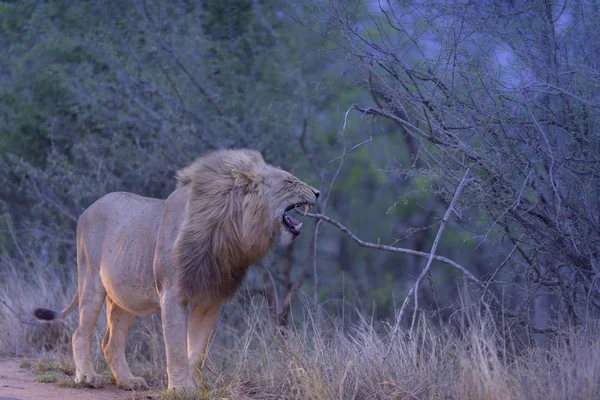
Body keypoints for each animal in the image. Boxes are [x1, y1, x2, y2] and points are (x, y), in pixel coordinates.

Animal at [34, 149, 318, 390]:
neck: (230, 229)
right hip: (91, 281)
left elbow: (198, 350)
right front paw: (181, 388)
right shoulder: (172, 294)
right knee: (80, 333)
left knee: (110, 343)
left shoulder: (210, 298)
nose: (317, 193)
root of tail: (89, 208)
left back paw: (128, 381)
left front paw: (196, 385)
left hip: (124, 297)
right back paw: (87, 377)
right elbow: (177, 347)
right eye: (289, 181)